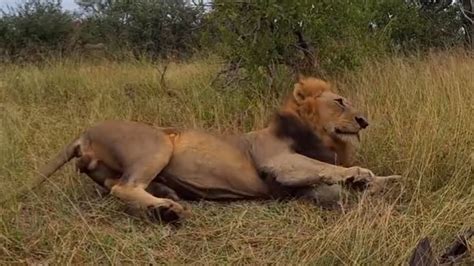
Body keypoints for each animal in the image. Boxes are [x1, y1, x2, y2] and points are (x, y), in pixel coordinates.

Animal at [36, 76, 396, 222]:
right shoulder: (280, 162)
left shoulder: (293, 185)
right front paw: (361, 174)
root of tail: (84, 133)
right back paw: (168, 209)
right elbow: (329, 169)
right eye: (339, 101)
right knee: (123, 188)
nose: (364, 121)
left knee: (118, 185)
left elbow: (330, 180)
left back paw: (166, 197)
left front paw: (383, 182)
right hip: (157, 144)